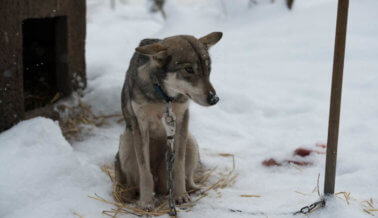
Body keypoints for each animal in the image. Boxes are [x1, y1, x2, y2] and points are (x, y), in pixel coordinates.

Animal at [114, 31, 221, 210]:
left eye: (209, 69)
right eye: (189, 69)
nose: (214, 99)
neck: (165, 98)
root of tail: (161, 185)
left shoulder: (181, 120)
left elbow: (178, 165)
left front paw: (180, 195)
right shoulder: (140, 125)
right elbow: (145, 172)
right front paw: (146, 202)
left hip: (190, 141)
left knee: (188, 177)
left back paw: (194, 189)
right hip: (127, 142)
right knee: (132, 183)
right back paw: (128, 195)